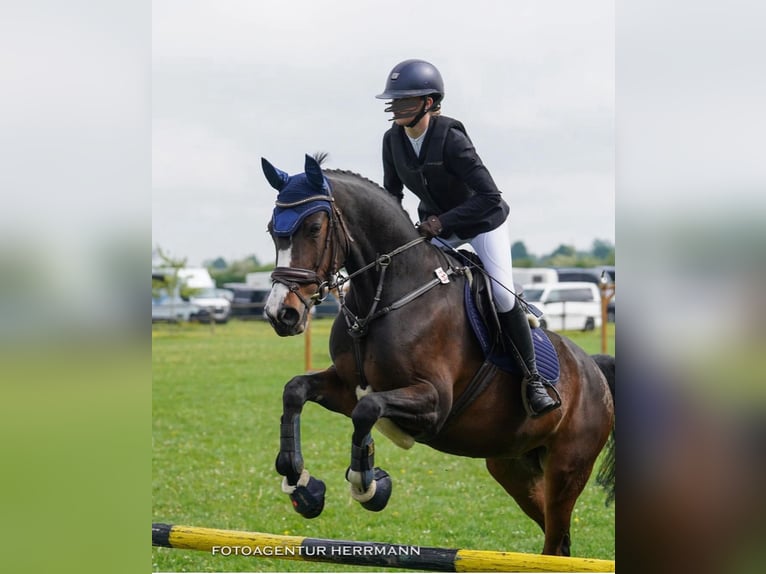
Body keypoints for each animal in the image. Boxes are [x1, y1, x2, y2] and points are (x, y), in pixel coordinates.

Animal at [260, 154, 616, 560]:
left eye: (315, 227)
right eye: (272, 230)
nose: (281, 314)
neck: (383, 296)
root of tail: (594, 370)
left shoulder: (433, 403)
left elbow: (368, 411)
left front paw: (369, 485)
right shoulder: (347, 387)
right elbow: (296, 390)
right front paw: (302, 484)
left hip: (567, 470)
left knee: (556, 538)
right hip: (513, 467)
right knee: (557, 539)